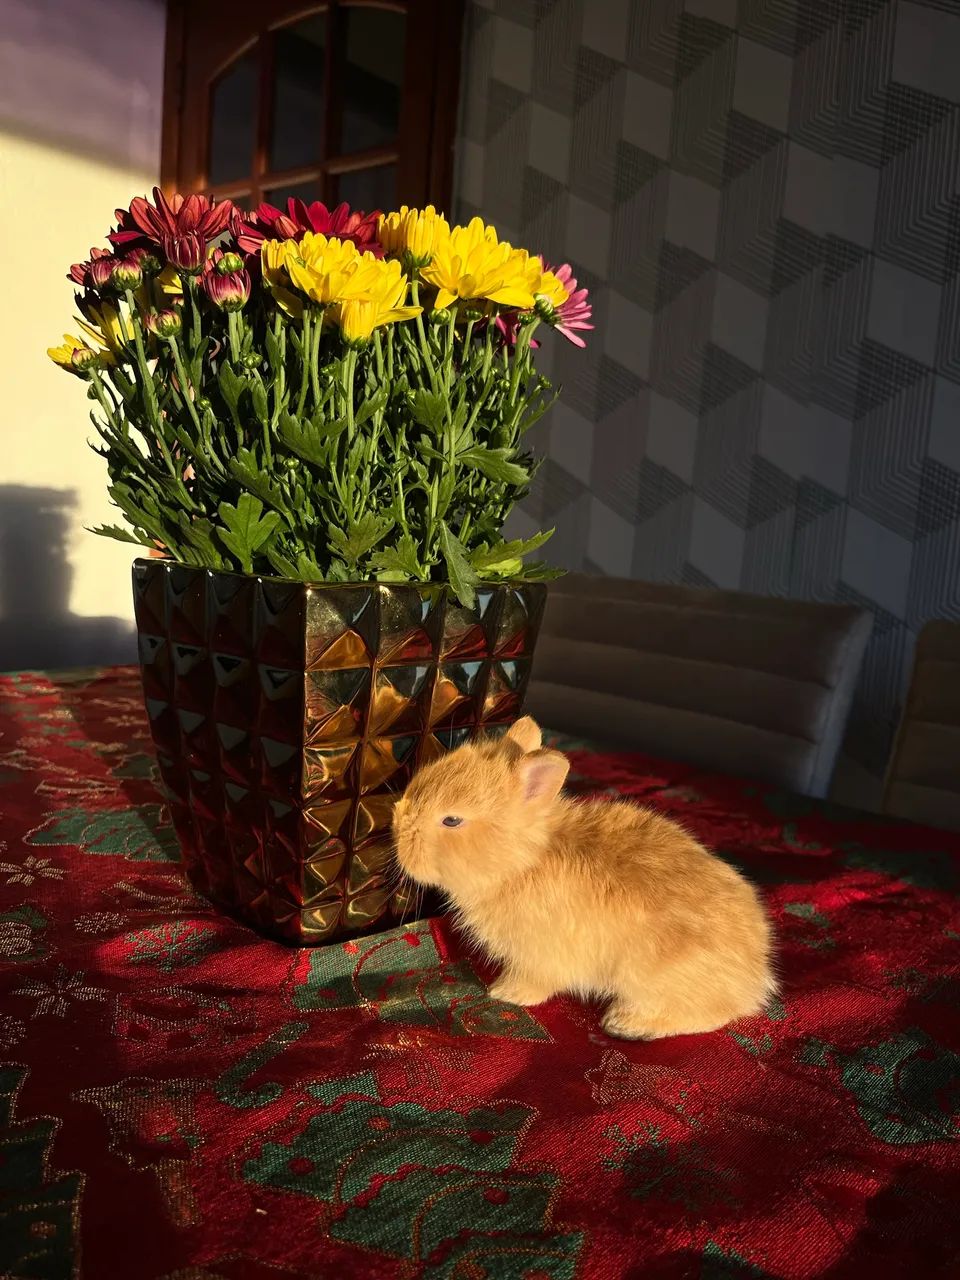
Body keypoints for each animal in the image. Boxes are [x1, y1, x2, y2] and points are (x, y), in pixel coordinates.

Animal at [392, 716, 776, 1040]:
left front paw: (505, 993)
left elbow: (535, 982)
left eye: (452, 820)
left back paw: (626, 1023)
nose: (397, 827)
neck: (522, 861)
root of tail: (756, 978)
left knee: (709, 1014)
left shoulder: (539, 956)